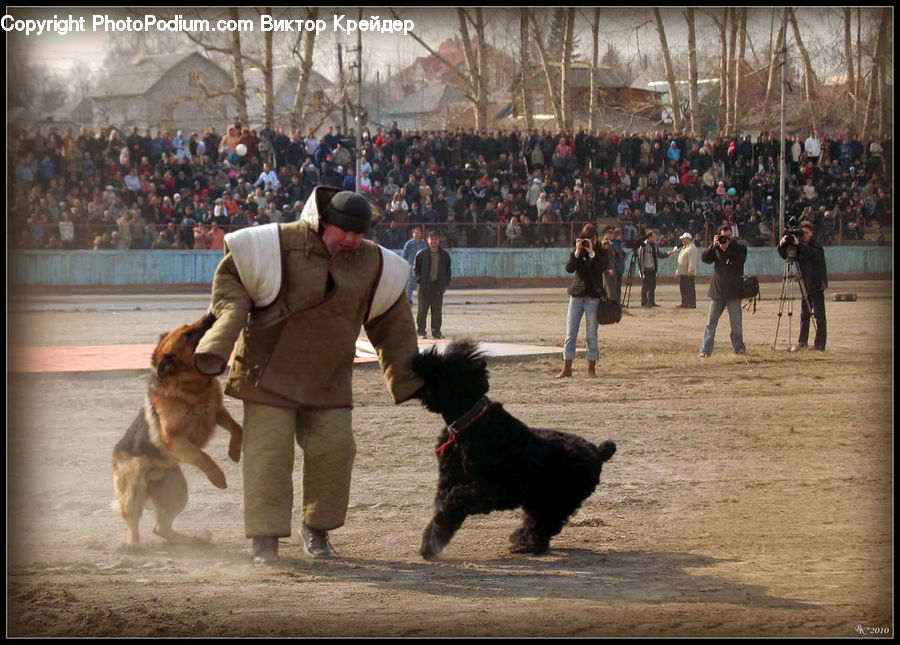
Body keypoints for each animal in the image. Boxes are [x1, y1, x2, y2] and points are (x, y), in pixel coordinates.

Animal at [113, 314, 243, 544]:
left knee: (159, 528)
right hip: (135, 492)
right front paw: (218, 478)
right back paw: (133, 546)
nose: (211, 315)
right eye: (188, 335)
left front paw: (234, 451)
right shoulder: (175, 439)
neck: (193, 387)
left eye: (188, 327)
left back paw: (190, 541)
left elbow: (238, 429)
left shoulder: (217, 412)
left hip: (178, 493)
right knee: (132, 524)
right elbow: (202, 457)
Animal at [412, 340, 616, 556]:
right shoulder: (448, 481)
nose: (417, 358)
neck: (469, 422)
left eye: (443, 362)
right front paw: (430, 542)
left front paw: (433, 539)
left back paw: (527, 545)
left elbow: (455, 501)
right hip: (539, 498)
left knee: (544, 525)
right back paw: (523, 541)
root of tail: (598, 451)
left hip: (555, 501)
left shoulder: (492, 488)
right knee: (537, 523)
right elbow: (442, 508)